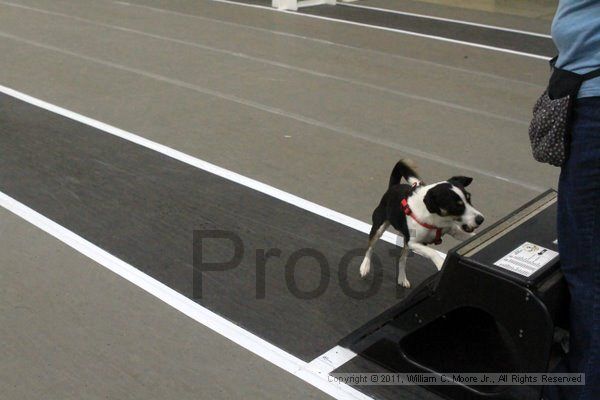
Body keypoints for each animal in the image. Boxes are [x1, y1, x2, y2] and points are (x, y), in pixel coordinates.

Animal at [360, 159, 482, 288]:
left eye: (469, 199)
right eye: (456, 206)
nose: (481, 219)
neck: (436, 218)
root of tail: (393, 187)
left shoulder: (453, 231)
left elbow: (472, 237)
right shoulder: (414, 243)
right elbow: (432, 252)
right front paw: (441, 263)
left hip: (406, 243)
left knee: (402, 259)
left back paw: (402, 278)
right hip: (379, 228)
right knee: (370, 247)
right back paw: (365, 266)